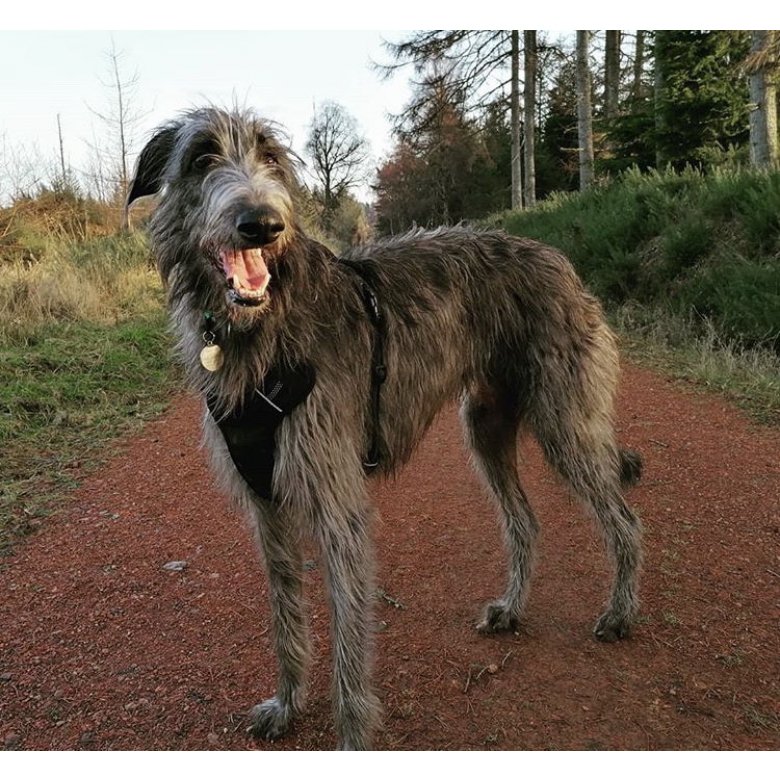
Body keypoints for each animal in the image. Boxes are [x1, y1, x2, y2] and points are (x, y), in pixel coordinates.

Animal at [126, 105, 640, 748]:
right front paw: (287, 704)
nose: (262, 224)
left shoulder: (337, 499)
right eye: (201, 158)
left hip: (565, 421)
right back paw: (511, 608)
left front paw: (351, 736)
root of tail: (559, 260)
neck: (265, 325)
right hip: (486, 427)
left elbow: (349, 643)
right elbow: (285, 616)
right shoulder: (267, 503)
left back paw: (620, 613)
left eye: (271, 157)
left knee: (622, 517)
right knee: (524, 520)